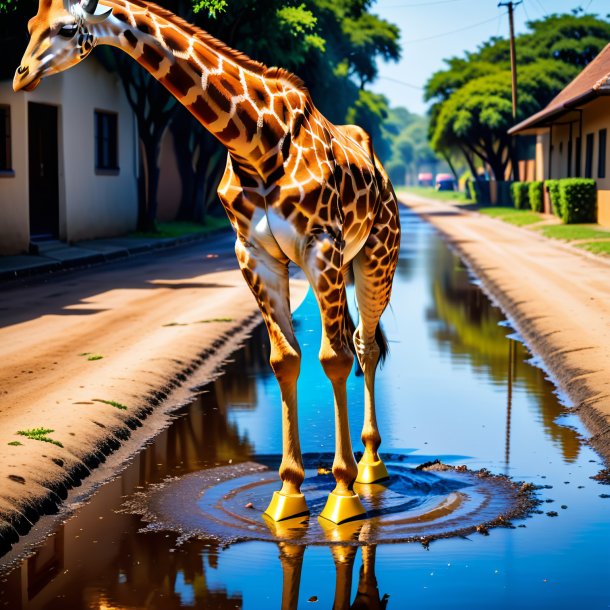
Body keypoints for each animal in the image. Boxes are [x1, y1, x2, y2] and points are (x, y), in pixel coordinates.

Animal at [13, 0, 400, 524]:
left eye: (68, 28)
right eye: (29, 25)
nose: (20, 76)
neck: (256, 142)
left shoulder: (322, 245)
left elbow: (333, 358)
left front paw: (341, 496)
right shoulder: (253, 254)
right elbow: (284, 360)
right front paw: (288, 493)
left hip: (377, 258)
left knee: (365, 346)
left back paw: (371, 467)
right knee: (362, 343)